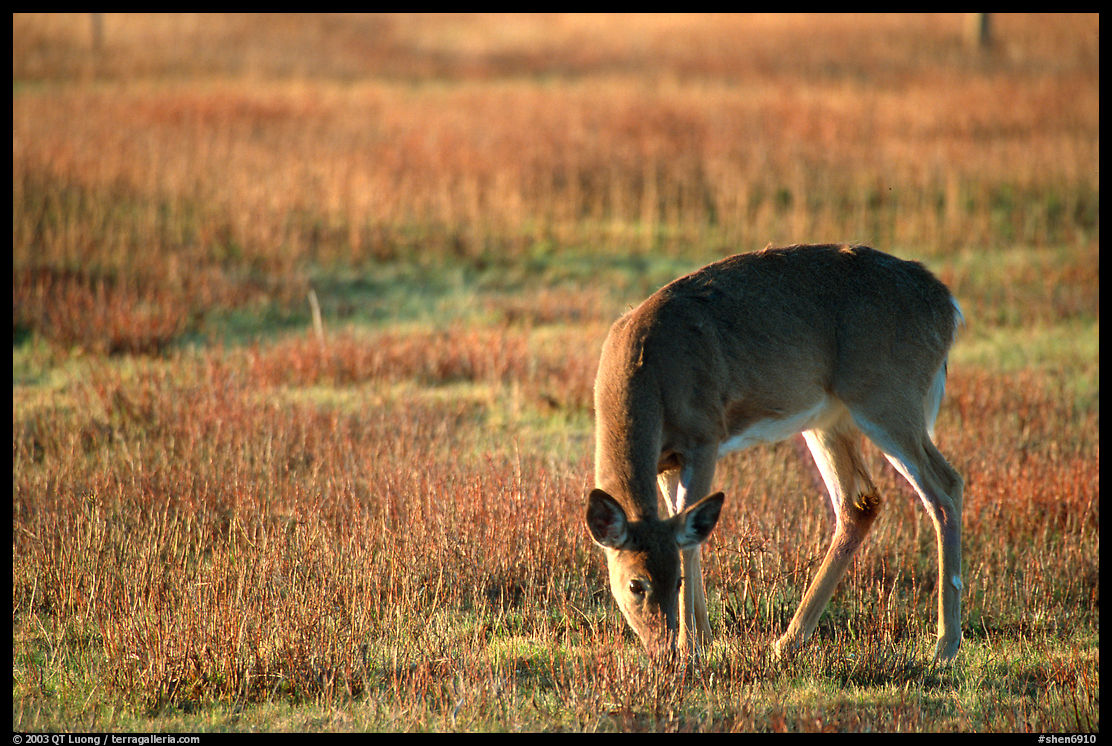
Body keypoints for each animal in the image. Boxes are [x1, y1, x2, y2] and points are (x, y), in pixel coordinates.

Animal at [586, 244, 965, 663]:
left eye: (675, 581)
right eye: (636, 584)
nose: (663, 646)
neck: (651, 373)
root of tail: (948, 306)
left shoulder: (704, 435)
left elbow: (691, 532)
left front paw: (693, 646)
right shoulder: (667, 462)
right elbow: (684, 525)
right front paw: (704, 638)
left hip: (889, 396)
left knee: (945, 487)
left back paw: (945, 646)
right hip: (829, 418)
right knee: (860, 502)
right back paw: (788, 641)